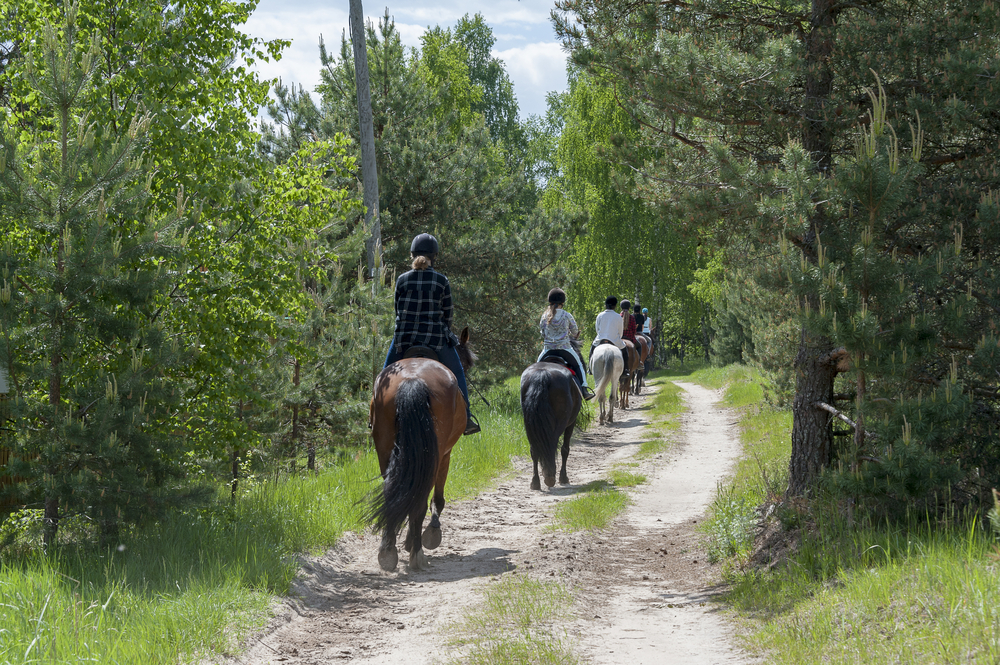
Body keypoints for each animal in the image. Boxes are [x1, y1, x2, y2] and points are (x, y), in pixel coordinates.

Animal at [520, 358, 584, 488]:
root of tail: (542, 373)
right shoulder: (571, 423)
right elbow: (565, 449)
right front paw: (563, 477)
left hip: (530, 426)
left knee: (534, 450)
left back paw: (536, 481)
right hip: (559, 424)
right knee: (553, 445)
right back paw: (550, 477)